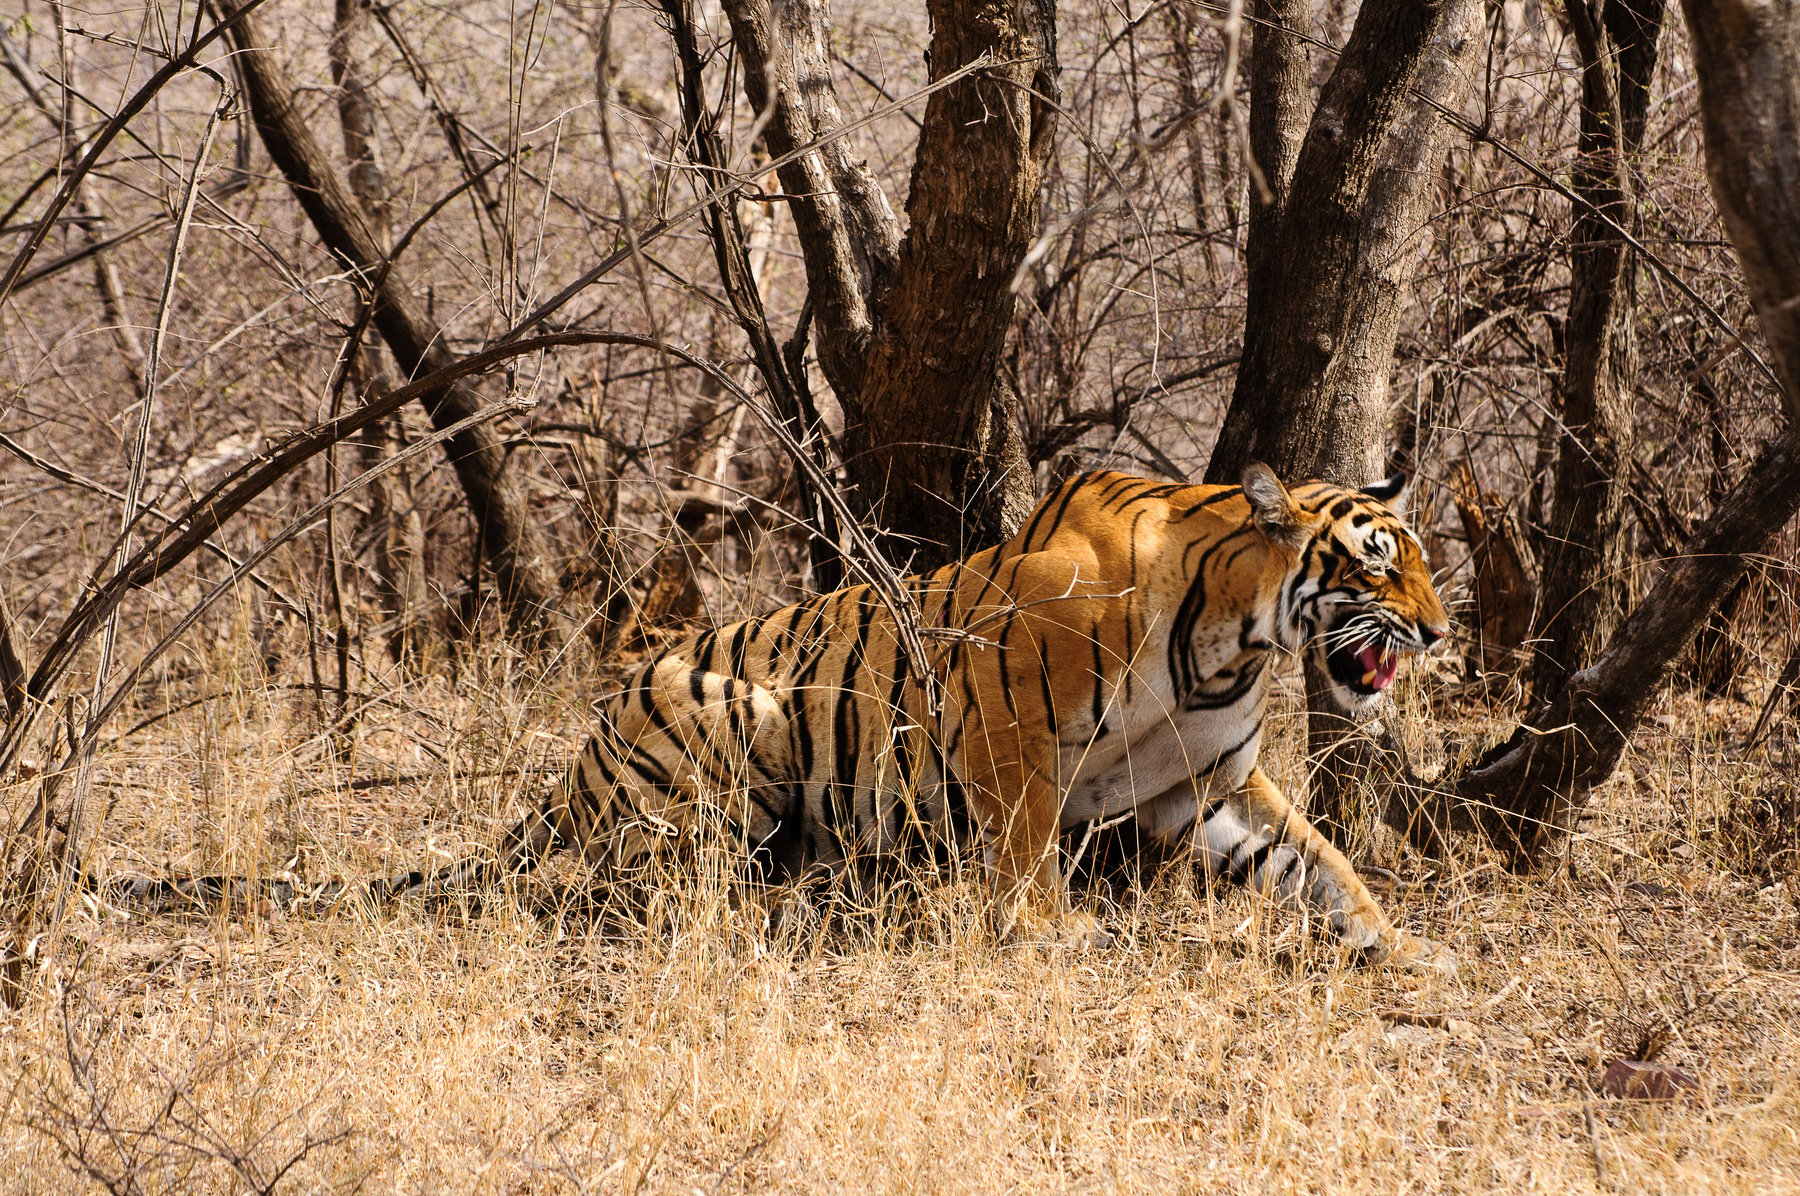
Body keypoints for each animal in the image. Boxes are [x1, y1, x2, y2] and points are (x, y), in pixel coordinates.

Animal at [414, 461, 1454, 965]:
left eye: (1423, 561)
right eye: (1375, 565)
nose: (1440, 632)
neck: (1231, 640)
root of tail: (576, 760)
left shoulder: (1205, 784)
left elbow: (1322, 861)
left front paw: (1398, 943)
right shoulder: (1001, 719)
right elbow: (1028, 846)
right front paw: (1048, 931)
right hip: (738, 712)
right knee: (652, 887)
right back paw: (793, 910)